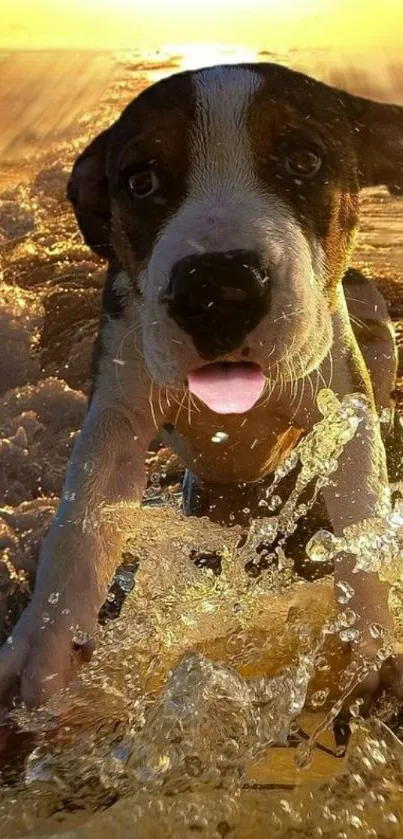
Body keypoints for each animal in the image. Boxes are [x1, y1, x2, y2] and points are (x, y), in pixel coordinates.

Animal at [0, 62, 403, 712]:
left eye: (304, 160)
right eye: (140, 181)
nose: (217, 289)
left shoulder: (342, 400)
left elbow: (360, 511)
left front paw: (371, 638)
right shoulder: (118, 403)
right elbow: (82, 515)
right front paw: (45, 641)